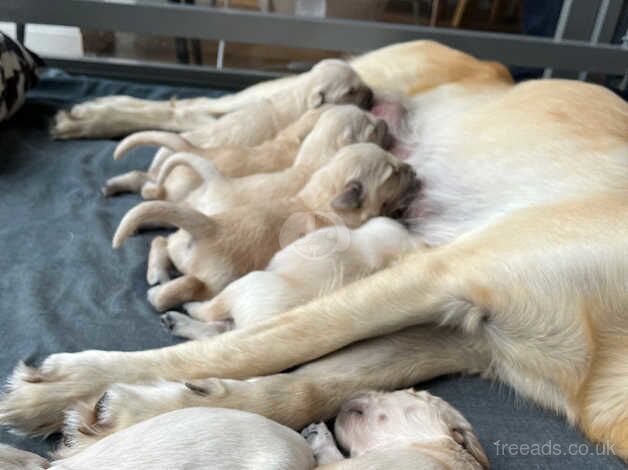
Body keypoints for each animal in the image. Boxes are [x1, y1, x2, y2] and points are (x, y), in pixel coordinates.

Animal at [103, 105, 328, 199]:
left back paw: (110, 186)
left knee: (141, 177)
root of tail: (188, 148)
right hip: (178, 188)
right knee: (152, 189)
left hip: (162, 176)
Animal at [113, 143, 420, 312]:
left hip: (181, 242)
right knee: (185, 288)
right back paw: (159, 292)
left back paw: (157, 271)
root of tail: (211, 227)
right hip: (217, 280)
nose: (414, 170)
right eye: (393, 174)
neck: (321, 199)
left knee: (162, 241)